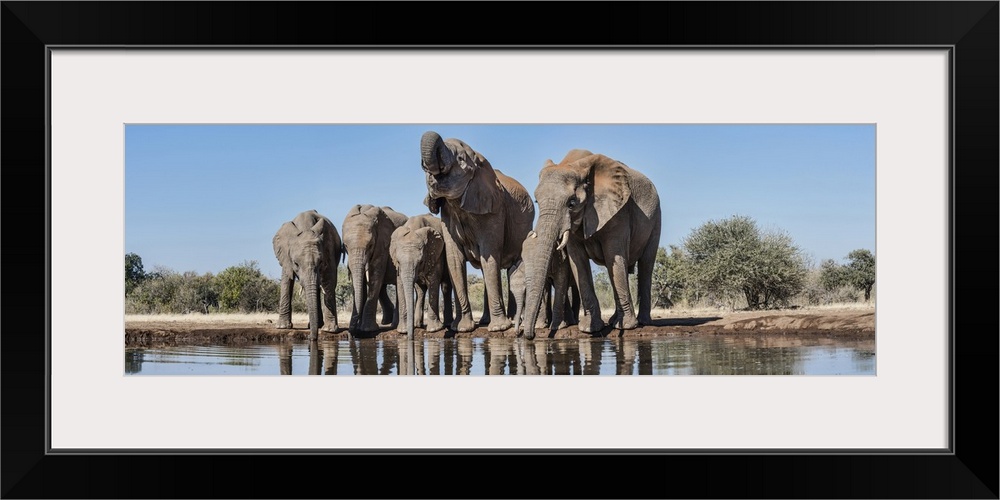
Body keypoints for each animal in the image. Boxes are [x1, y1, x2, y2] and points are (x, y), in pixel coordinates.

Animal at [272, 209, 342, 342]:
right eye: (296, 263)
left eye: (321, 262)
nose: (311, 338)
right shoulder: (286, 255)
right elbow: (286, 281)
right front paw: (282, 327)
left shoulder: (328, 248)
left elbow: (329, 279)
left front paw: (329, 330)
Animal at [342, 203, 408, 336]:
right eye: (345, 245)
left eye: (370, 245)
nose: (351, 334)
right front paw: (359, 327)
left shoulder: (382, 244)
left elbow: (375, 276)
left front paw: (367, 329)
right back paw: (387, 322)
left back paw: (393, 325)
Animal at [520, 149, 660, 340]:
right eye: (536, 202)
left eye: (571, 203)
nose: (531, 336)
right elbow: (577, 261)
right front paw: (590, 329)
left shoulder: (619, 211)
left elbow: (614, 254)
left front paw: (626, 327)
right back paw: (615, 321)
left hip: (656, 218)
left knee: (646, 264)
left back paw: (643, 322)